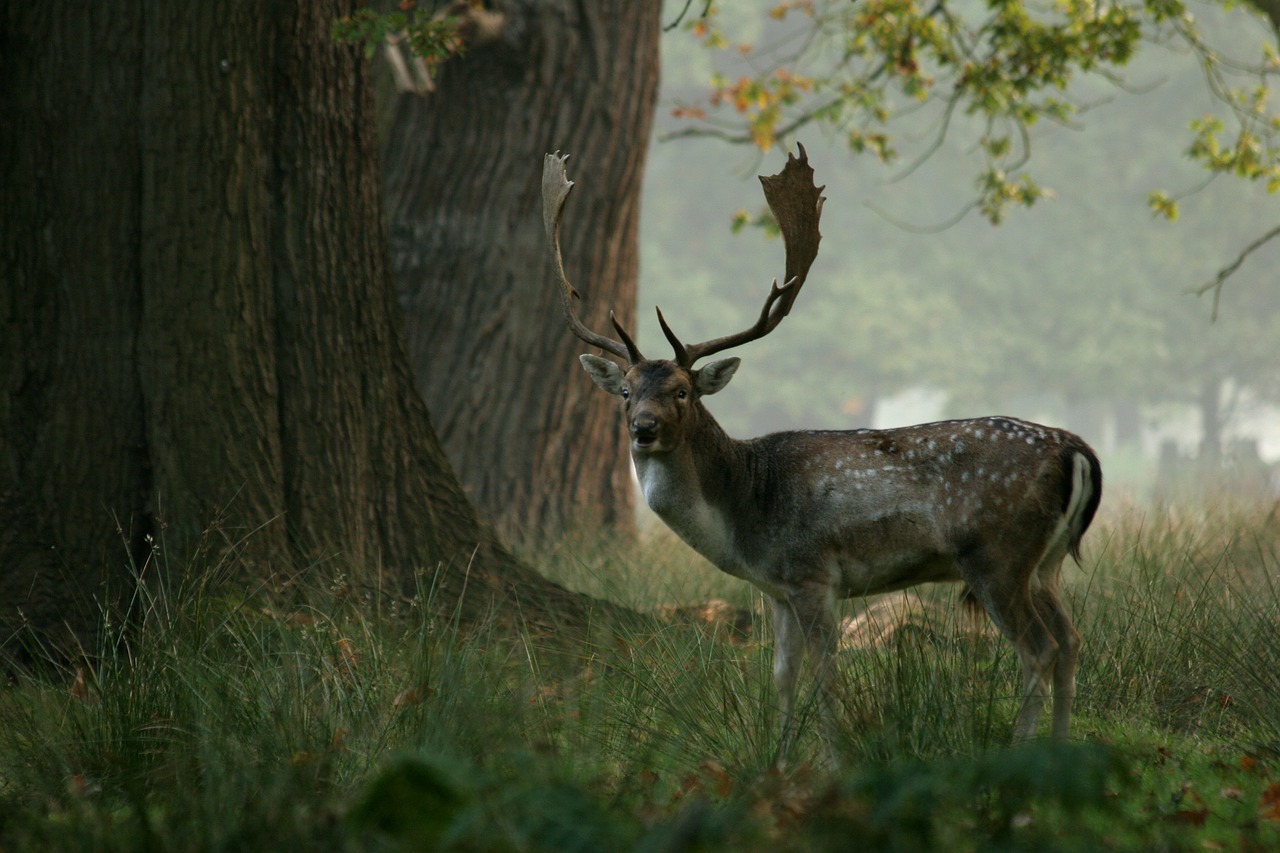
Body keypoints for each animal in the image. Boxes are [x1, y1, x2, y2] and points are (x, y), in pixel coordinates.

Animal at [540, 142, 1100, 753]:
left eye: (682, 391)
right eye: (625, 391)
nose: (643, 428)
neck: (744, 511)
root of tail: (1075, 448)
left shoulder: (813, 574)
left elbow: (825, 676)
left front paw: (832, 759)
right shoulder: (778, 589)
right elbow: (782, 674)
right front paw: (778, 756)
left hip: (996, 553)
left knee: (1039, 649)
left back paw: (1021, 753)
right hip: (1045, 561)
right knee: (1072, 640)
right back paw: (1059, 749)